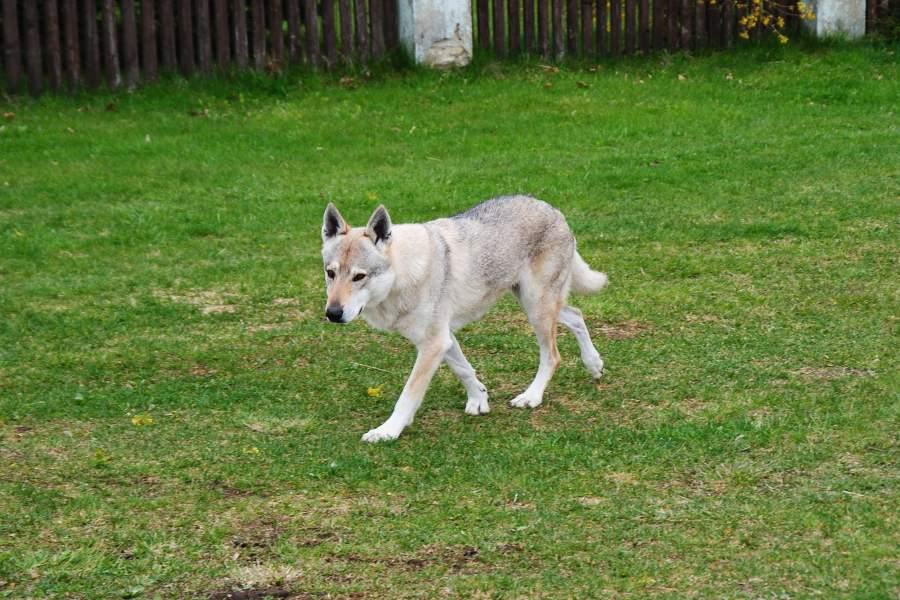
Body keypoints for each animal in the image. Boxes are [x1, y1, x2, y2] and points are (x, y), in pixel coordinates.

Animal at [320, 196, 608, 440]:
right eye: (330, 273)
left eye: (359, 276)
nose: (332, 314)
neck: (402, 273)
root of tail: (554, 210)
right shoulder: (442, 339)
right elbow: (464, 370)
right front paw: (479, 400)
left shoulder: (433, 344)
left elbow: (408, 394)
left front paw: (387, 431)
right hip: (534, 305)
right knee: (577, 316)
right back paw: (594, 364)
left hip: (536, 307)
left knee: (553, 355)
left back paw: (532, 396)